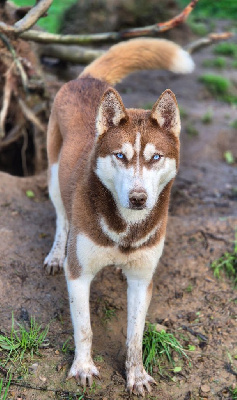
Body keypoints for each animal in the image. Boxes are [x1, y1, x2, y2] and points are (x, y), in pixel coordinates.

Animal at [44, 39, 194, 396]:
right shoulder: (78, 273)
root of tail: (87, 79)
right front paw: (84, 367)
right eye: (120, 156)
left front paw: (136, 375)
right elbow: (84, 328)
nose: (138, 198)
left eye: (155, 157)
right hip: (53, 175)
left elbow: (135, 336)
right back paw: (55, 253)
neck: (125, 229)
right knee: (61, 218)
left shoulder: (142, 277)